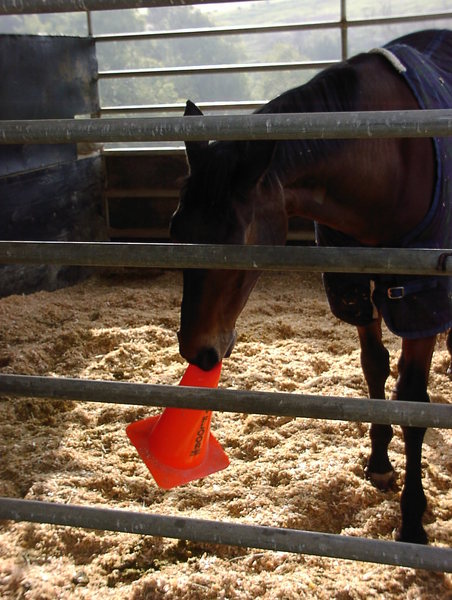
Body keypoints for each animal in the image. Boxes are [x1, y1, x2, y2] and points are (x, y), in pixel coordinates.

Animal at [169, 29, 452, 545]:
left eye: (236, 239)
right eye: (176, 229)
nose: (198, 351)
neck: (388, 157)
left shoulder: (421, 300)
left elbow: (414, 401)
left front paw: (412, 521)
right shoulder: (354, 288)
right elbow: (374, 368)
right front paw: (380, 465)